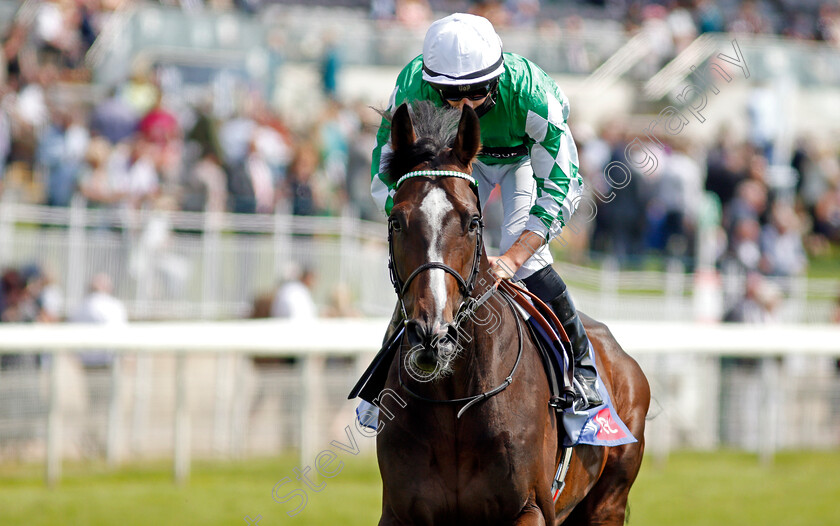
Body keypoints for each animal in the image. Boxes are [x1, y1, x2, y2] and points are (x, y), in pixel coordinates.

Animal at [374, 101, 648, 524]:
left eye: (473, 222)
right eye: (396, 221)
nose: (434, 335)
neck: (454, 400)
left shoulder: (530, 507)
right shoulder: (400, 512)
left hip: (609, 500)